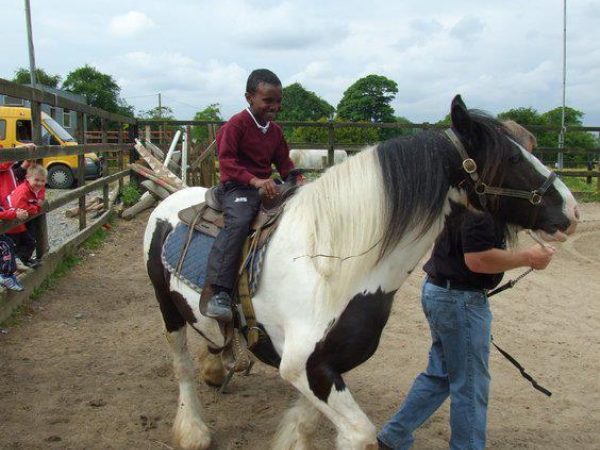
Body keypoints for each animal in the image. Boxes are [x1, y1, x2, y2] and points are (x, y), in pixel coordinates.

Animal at [143, 96, 578, 450]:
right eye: (513, 159)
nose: (572, 211)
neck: (331, 266)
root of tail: (173, 199)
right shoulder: (306, 366)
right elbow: (360, 435)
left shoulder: (325, 366)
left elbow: (306, 425)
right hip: (166, 309)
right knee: (181, 367)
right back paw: (193, 430)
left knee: (214, 337)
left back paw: (218, 368)